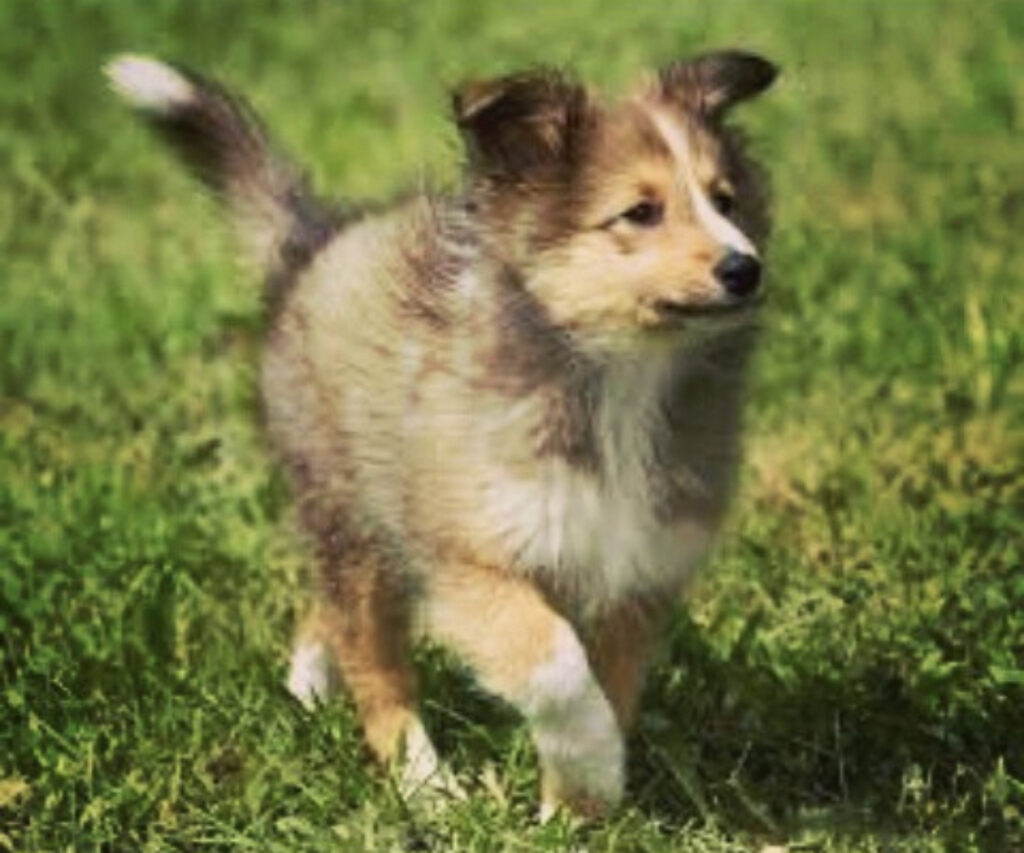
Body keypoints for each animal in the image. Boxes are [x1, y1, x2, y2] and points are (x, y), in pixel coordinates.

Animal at [106, 49, 777, 818]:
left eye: (726, 200)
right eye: (640, 212)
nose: (745, 267)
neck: (623, 379)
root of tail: (316, 240)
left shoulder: (638, 571)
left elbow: (608, 686)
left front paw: (575, 812)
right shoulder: (466, 561)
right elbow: (557, 665)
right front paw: (593, 772)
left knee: (330, 614)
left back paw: (313, 695)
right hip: (349, 512)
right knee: (373, 658)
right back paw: (423, 784)